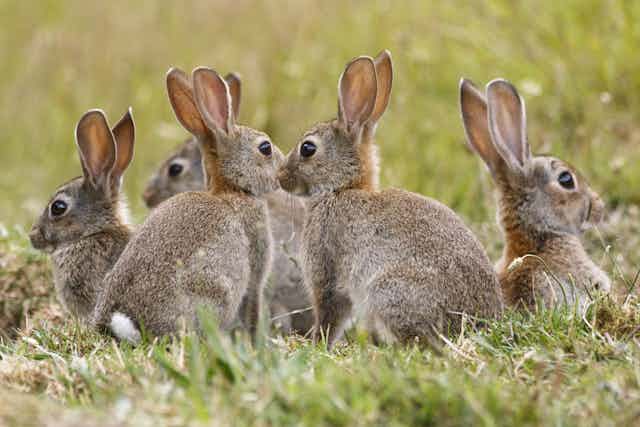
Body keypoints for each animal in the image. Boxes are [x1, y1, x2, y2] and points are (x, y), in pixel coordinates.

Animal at [277, 51, 503, 347]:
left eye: (307, 149)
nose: (280, 177)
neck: (341, 188)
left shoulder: (327, 273)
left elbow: (330, 313)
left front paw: (318, 344)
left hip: (387, 291)